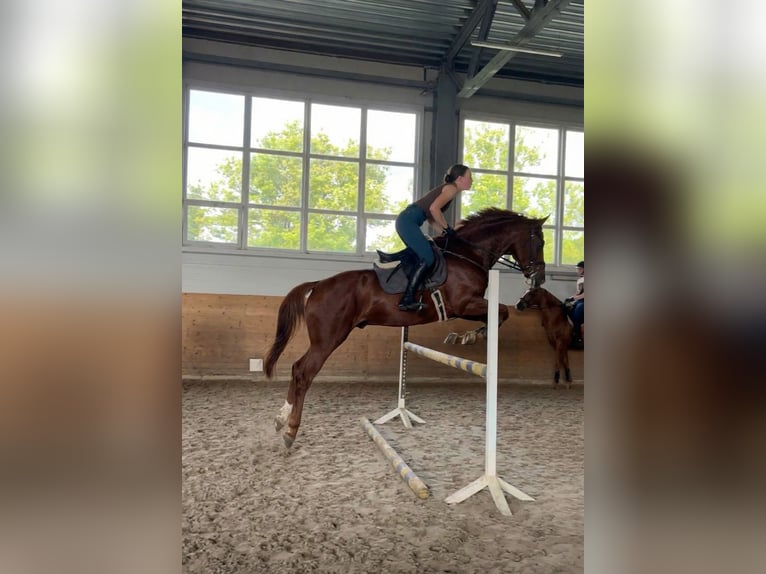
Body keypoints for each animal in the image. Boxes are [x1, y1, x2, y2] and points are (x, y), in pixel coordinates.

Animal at [264, 207, 548, 447]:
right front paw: (471, 336)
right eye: (540, 242)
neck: (468, 256)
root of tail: (318, 285)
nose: (539, 278)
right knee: (303, 372)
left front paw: (466, 336)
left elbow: (496, 314)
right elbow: (501, 311)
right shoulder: (464, 304)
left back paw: (280, 419)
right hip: (328, 339)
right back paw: (290, 430)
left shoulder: (467, 307)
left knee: (296, 369)